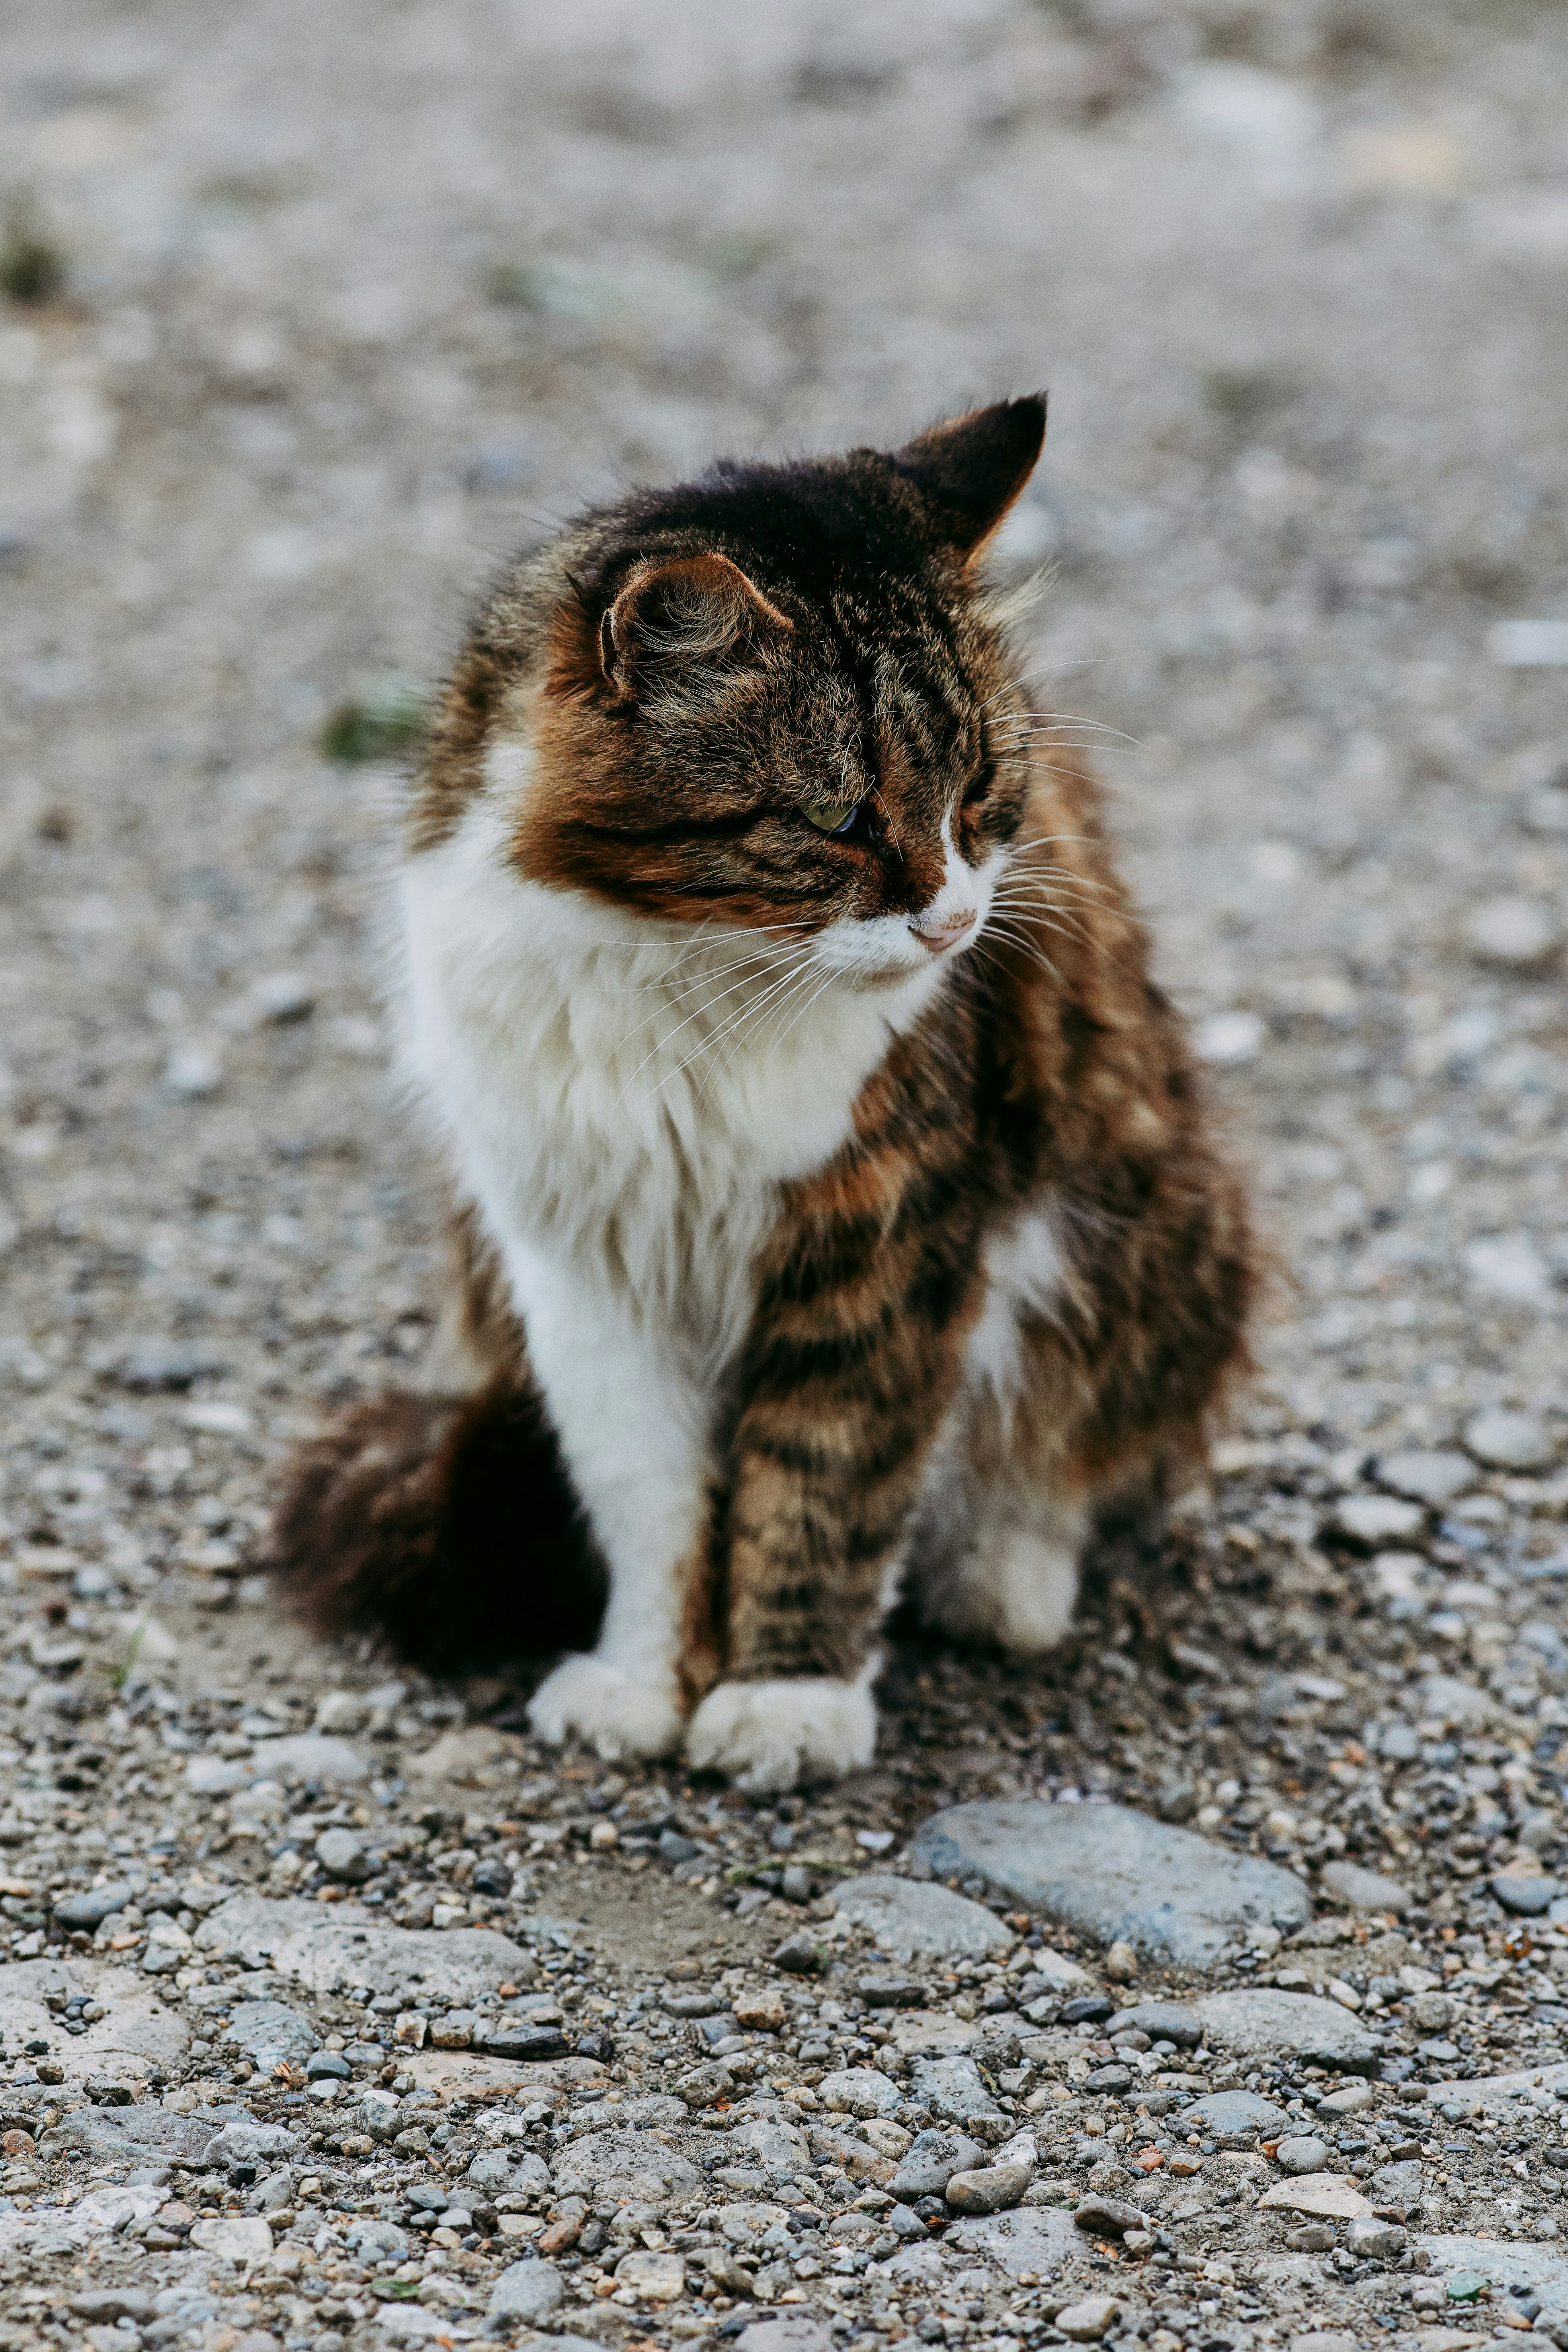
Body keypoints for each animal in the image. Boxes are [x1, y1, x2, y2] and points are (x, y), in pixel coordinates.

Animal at [276, 400, 1260, 1778]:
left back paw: (1002, 1575)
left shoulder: (889, 1242)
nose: (953, 925)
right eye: (839, 821)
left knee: (1072, 1448)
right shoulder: (577, 1261)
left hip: (1154, 1223)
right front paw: (645, 1681)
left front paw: (786, 1696)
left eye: (975, 795)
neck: (684, 975)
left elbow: (824, 1483)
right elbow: (648, 1501)